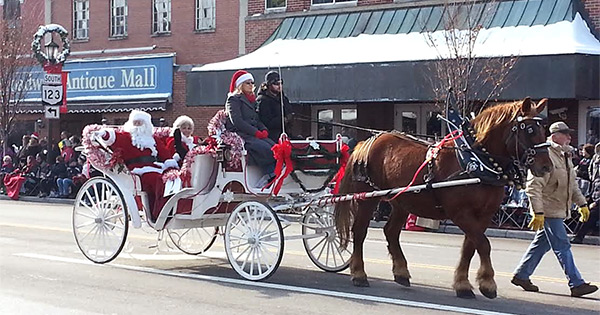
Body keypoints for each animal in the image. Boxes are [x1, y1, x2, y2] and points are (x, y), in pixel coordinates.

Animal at [336, 97, 552, 300]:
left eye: (544, 129)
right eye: (529, 130)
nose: (546, 167)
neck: (477, 162)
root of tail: (368, 140)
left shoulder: (484, 215)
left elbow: (470, 247)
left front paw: (463, 284)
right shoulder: (460, 213)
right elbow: (483, 244)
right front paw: (487, 284)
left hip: (402, 201)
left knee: (391, 231)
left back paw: (401, 272)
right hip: (367, 198)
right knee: (360, 232)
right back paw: (359, 274)